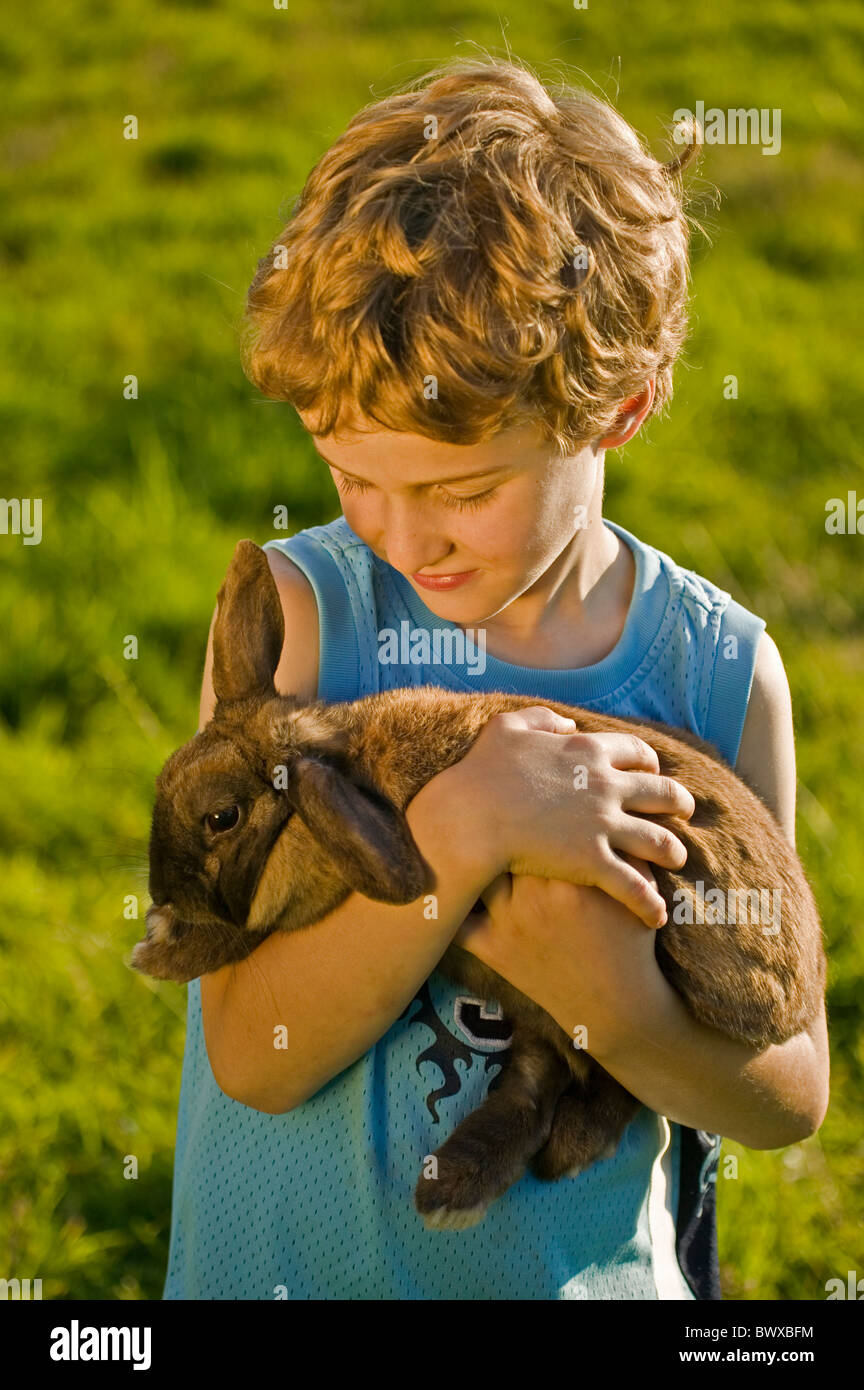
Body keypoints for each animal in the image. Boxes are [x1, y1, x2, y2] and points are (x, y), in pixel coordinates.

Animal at [133, 539, 826, 1230]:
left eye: (221, 818)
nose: (163, 895)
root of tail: (799, 997)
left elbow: (247, 928)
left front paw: (158, 951)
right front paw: (160, 943)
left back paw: (524, 1166)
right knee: (540, 1080)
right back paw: (457, 1187)